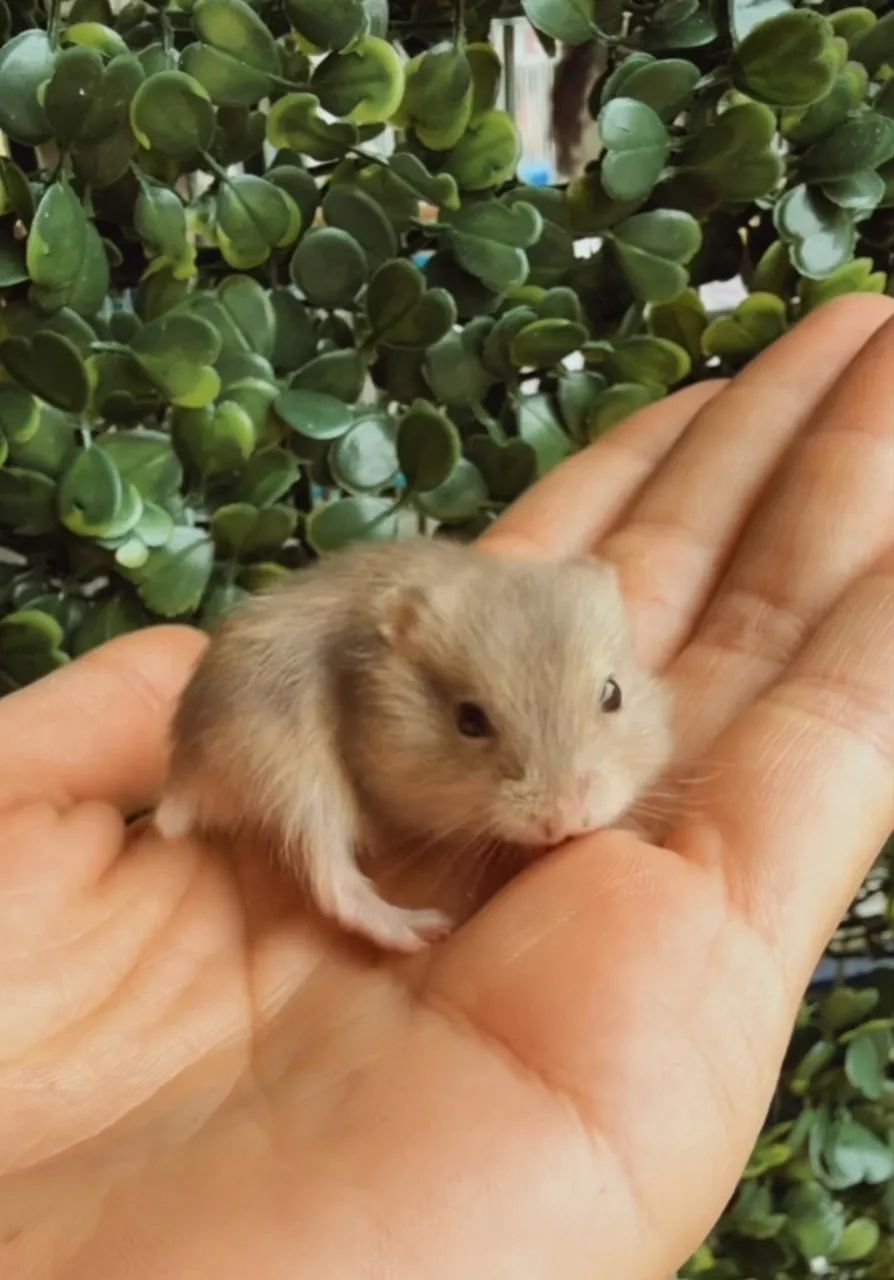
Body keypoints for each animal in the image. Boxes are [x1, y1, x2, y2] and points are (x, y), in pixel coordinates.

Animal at [155, 537, 674, 953]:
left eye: (613, 694)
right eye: (469, 720)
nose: (565, 821)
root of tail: (185, 772)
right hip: (291, 774)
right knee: (332, 883)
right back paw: (419, 930)